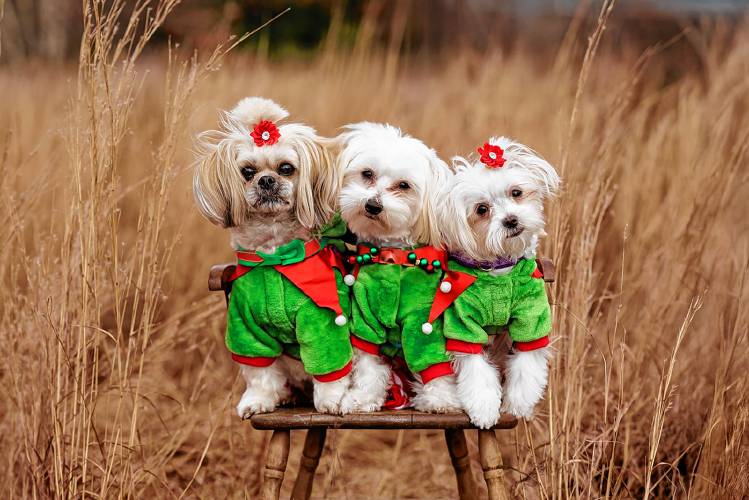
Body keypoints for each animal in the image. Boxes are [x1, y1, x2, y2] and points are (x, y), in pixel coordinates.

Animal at [194, 97, 356, 418]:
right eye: (247, 172)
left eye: (286, 168)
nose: (266, 180)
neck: (273, 257)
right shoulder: (246, 328)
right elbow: (260, 374)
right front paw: (258, 400)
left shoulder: (323, 321)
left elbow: (329, 368)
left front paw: (331, 400)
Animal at [334, 122, 462, 414]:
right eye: (367, 174)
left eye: (404, 186)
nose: (372, 205)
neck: (393, 257)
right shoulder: (365, 317)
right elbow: (368, 363)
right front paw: (363, 398)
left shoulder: (423, 320)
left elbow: (431, 360)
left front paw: (439, 400)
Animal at [438, 137, 560, 426]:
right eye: (482, 210)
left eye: (516, 192)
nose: (511, 220)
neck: (499, 273)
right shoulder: (463, 325)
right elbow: (476, 373)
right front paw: (484, 408)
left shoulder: (531, 319)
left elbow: (527, 367)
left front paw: (519, 405)